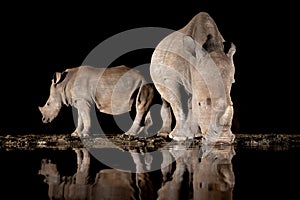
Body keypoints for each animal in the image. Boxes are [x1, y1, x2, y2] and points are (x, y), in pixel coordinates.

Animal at [38, 65, 170, 138]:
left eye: (48, 104)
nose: (43, 120)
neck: (64, 83)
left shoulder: (84, 100)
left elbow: (85, 117)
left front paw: (85, 135)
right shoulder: (79, 100)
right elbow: (80, 118)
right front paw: (75, 134)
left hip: (143, 82)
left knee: (141, 105)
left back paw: (129, 134)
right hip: (147, 82)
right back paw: (150, 134)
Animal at [150, 11, 237, 144]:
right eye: (201, 104)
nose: (223, 140)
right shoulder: (172, 79)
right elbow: (178, 103)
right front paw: (179, 137)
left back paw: (196, 134)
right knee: (166, 97)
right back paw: (163, 134)